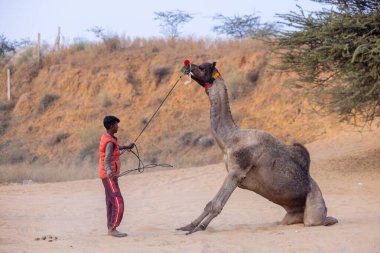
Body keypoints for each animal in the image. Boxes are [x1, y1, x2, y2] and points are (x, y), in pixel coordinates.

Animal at [177, 61, 336, 235]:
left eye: (202, 67)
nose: (186, 66)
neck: (230, 139)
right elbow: (209, 205)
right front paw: (188, 226)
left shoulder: (237, 171)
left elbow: (215, 205)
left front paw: (198, 228)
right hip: (290, 215)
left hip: (314, 207)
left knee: (316, 220)